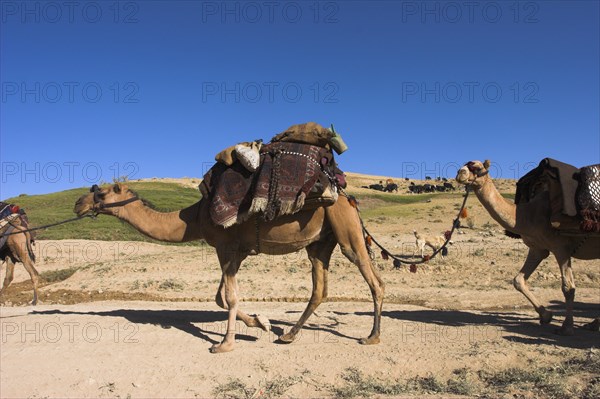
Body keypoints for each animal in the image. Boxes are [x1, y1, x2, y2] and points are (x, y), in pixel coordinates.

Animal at [74, 184, 384, 354]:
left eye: (101, 192)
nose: (78, 203)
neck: (194, 217)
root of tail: (350, 199)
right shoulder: (237, 251)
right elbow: (221, 297)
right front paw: (261, 322)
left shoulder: (224, 245)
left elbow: (229, 297)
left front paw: (224, 344)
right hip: (320, 243)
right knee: (320, 288)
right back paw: (288, 335)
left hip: (345, 229)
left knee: (374, 281)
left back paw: (372, 337)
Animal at [458, 159, 596, 334]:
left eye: (477, 167)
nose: (460, 173)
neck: (528, 215)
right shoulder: (538, 248)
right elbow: (518, 280)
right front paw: (546, 315)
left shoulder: (561, 247)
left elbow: (568, 287)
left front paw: (566, 327)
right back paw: (594, 323)